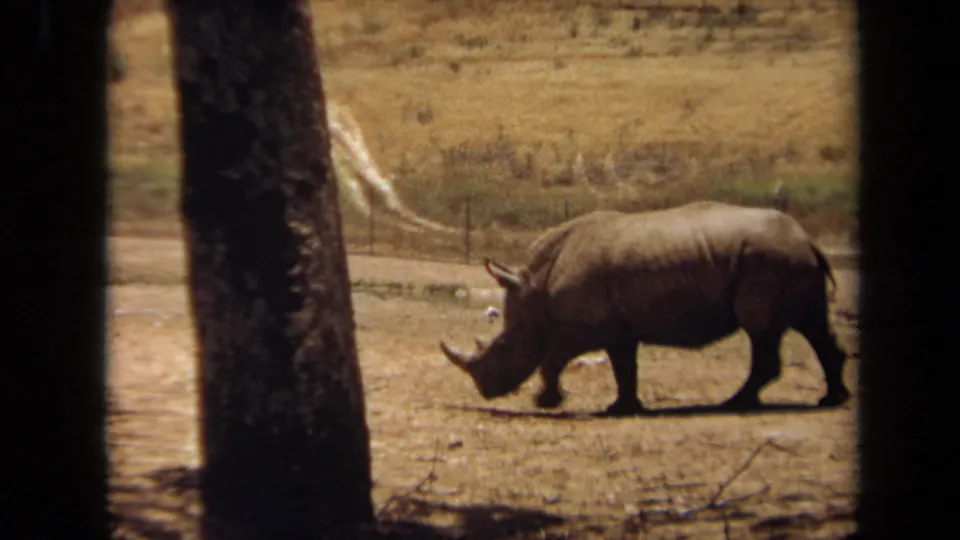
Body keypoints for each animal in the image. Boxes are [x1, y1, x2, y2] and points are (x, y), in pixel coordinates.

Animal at [439, 201, 852, 415]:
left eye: (503, 346)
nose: (485, 391)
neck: (535, 288)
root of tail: (808, 240)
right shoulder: (617, 327)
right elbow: (624, 367)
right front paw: (622, 407)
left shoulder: (585, 326)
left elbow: (553, 360)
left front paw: (546, 402)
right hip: (787, 260)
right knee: (813, 326)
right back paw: (830, 400)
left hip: (769, 259)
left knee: (762, 330)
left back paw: (736, 403)